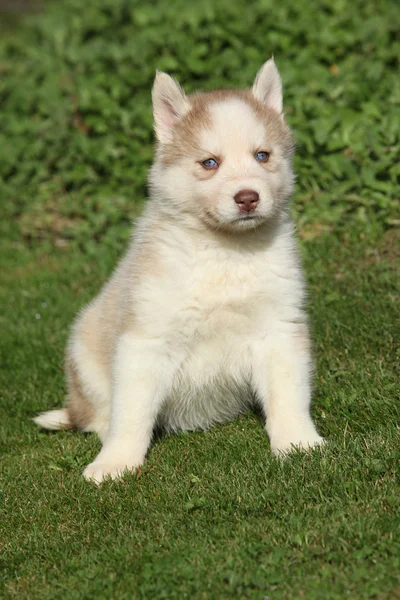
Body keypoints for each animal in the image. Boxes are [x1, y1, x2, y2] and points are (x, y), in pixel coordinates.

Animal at [35, 58, 324, 482]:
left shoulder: (279, 329)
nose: (248, 197)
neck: (224, 251)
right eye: (209, 163)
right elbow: (131, 414)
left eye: (262, 156)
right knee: (95, 415)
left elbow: (288, 395)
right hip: (84, 349)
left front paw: (298, 443)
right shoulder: (145, 340)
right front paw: (115, 462)